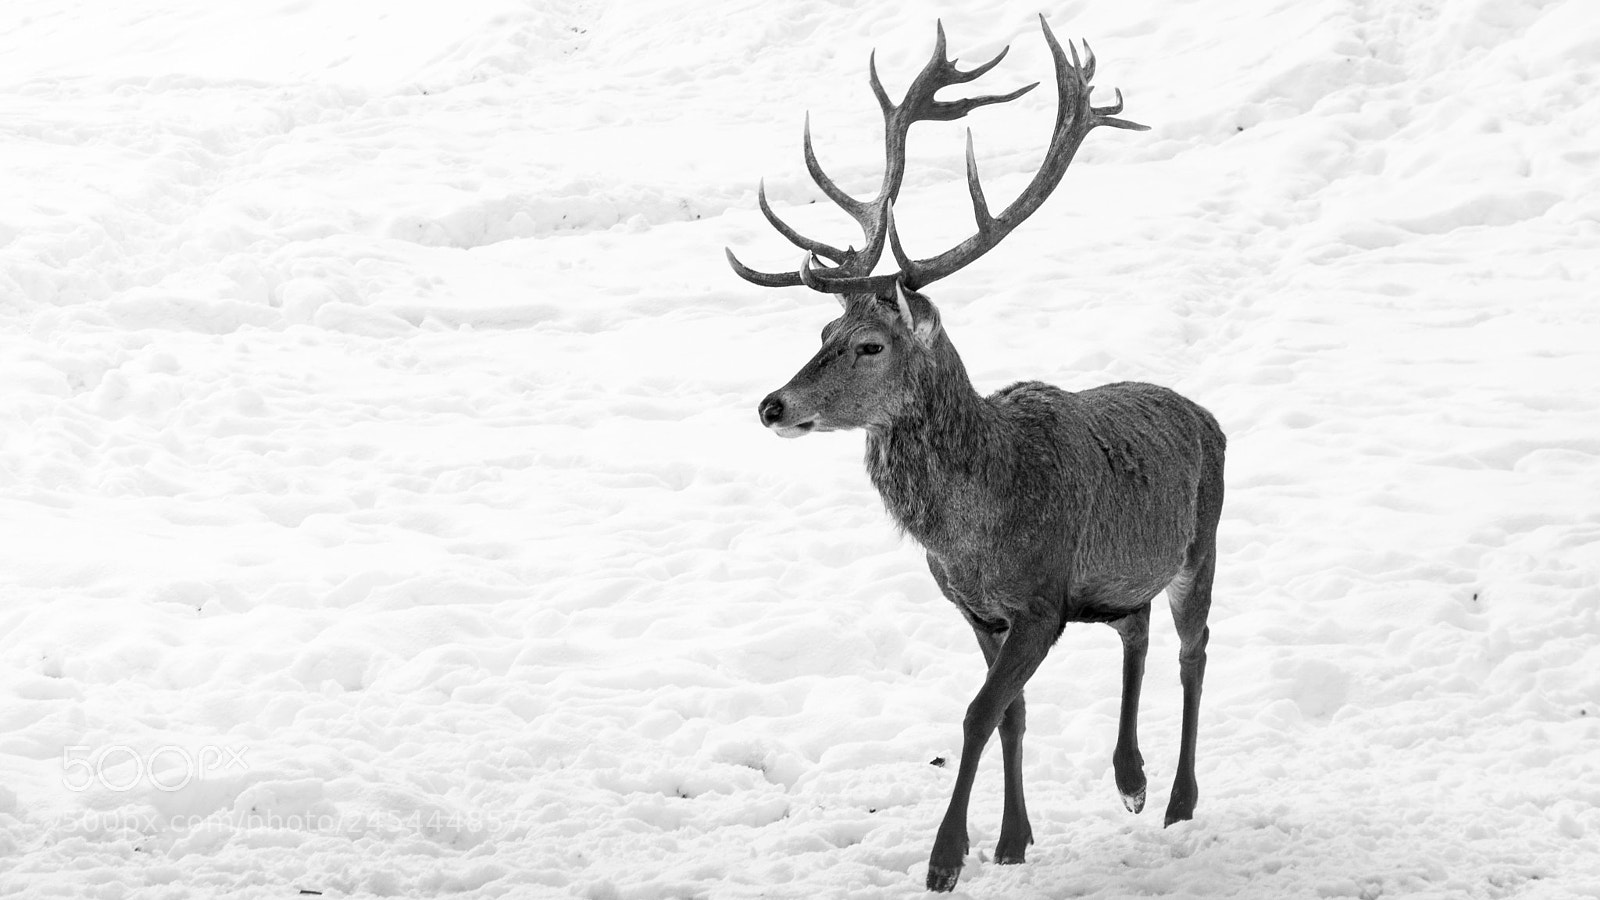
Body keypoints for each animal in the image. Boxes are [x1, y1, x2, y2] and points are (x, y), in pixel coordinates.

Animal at [726, 16, 1226, 893]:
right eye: (821, 330)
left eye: (870, 344)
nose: (772, 405)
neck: (970, 529)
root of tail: (1209, 416)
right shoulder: (973, 606)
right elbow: (1012, 714)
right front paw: (1013, 840)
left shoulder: (1041, 600)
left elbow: (977, 711)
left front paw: (946, 857)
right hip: (1118, 579)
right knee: (1133, 628)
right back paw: (1129, 778)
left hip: (1203, 546)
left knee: (1194, 651)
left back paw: (1177, 799)